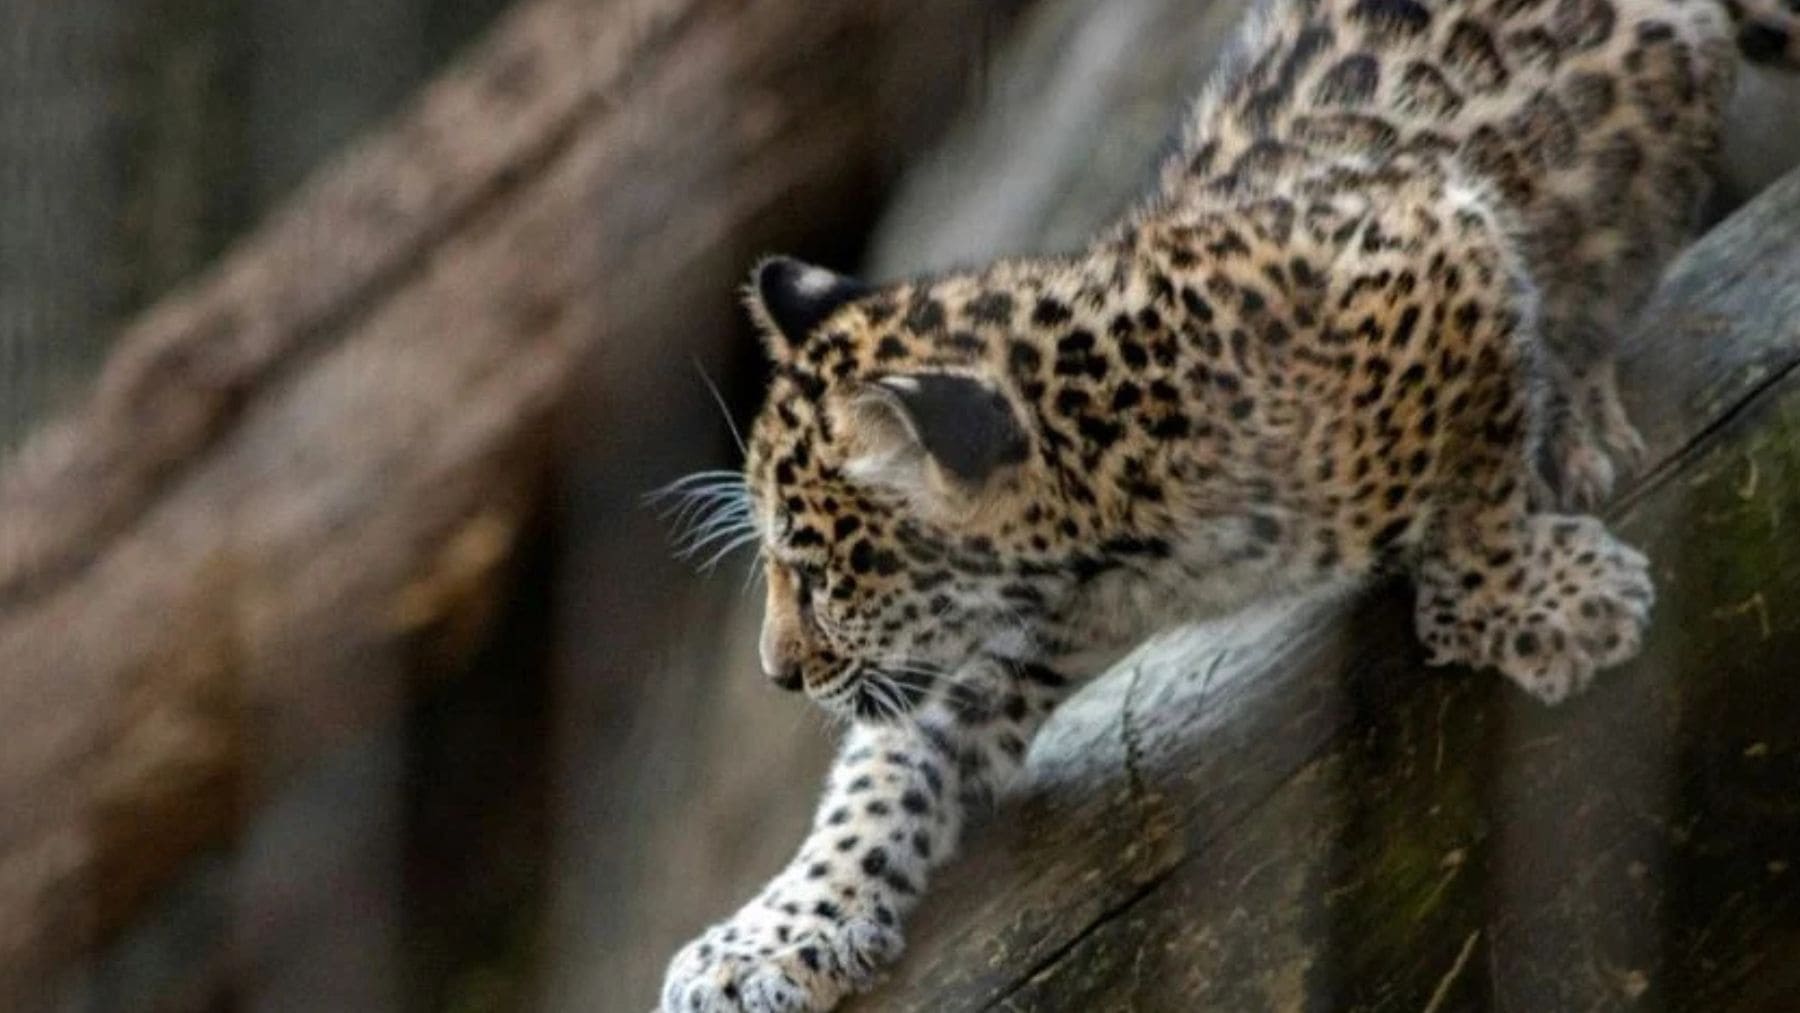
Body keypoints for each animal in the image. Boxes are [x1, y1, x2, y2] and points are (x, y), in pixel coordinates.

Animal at [658, 0, 1800, 1007]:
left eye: (816, 570)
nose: (776, 674)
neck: (1122, 526)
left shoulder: (1445, 240)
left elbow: (1477, 453)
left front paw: (1535, 599)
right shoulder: (1006, 642)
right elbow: (880, 778)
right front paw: (761, 939)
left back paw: (1576, 413)